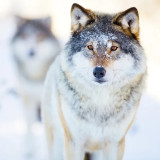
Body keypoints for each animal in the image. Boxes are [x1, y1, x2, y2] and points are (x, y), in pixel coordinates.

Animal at [10, 15, 60, 156]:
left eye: (40, 37)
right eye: (24, 37)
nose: (31, 53)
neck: (36, 75)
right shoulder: (27, 98)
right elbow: (29, 126)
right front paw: (29, 149)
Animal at [41, 3, 146, 160]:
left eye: (113, 48)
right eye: (90, 47)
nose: (98, 71)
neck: (100, 104)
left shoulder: (115, 144)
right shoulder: (74, 142)